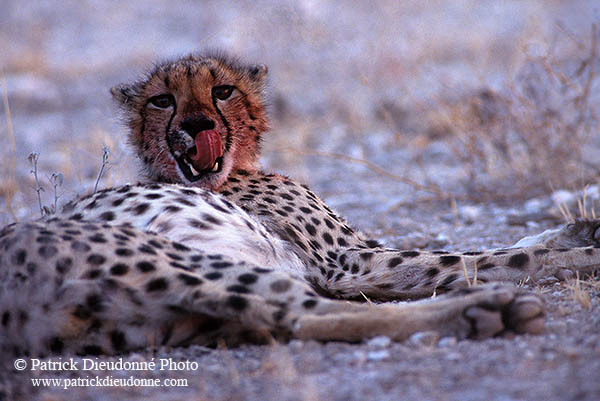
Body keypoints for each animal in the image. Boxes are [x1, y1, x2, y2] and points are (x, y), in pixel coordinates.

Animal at [1, 53, 600, 356]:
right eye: (162, 101)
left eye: (221, 91)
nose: (195, 126)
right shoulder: (350, 263)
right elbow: (488, 257)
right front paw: (581, 255)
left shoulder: (353, 257)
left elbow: (501, 245)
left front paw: (580, 230)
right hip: (178, 261)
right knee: (302, 310)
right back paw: (488, 309)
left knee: (289, 318)